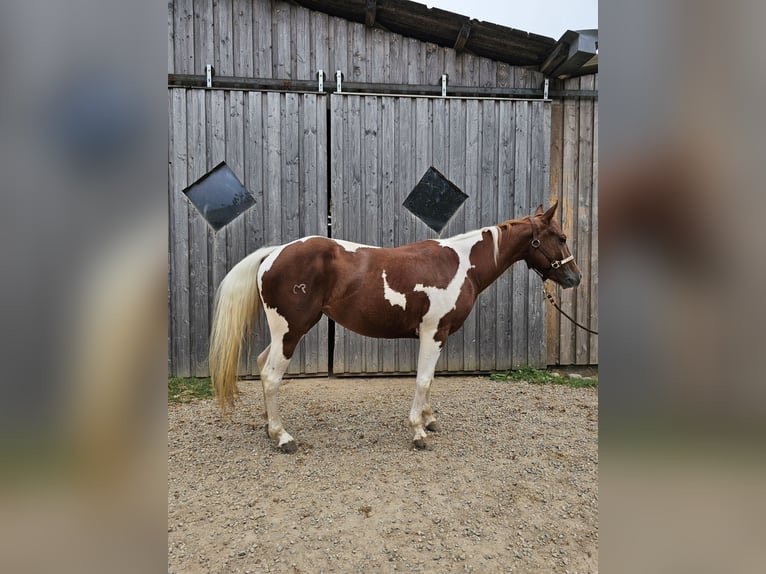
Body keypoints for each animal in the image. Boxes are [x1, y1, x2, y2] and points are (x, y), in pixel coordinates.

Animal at [210, 202, 584, 454]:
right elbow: (423, 380)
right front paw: (418, 432)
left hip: (283, 332)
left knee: (263, 365)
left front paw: (429, 419)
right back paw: (283, 437)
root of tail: (273, 253)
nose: (574, 277)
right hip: (291, 330)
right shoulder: (433, 333)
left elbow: (429, 381)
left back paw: (268, 426)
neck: (461, 264)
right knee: (271, 375)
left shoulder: (438, 335)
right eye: (560, 236)